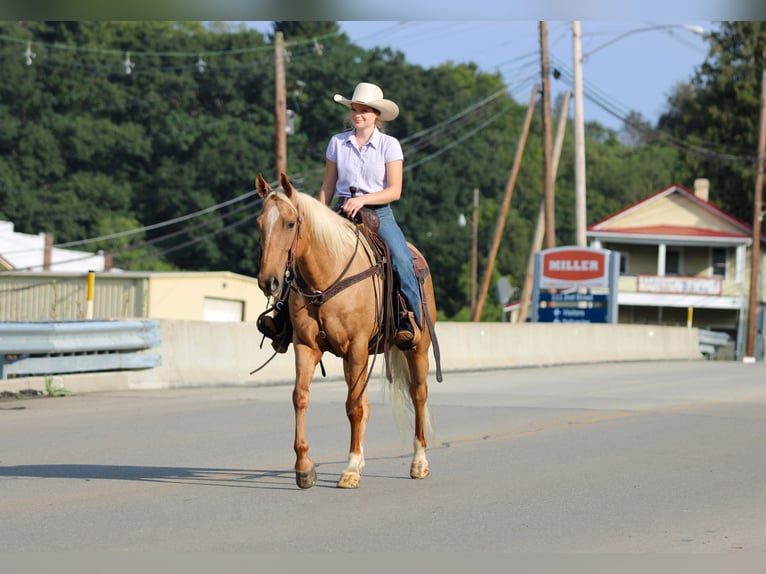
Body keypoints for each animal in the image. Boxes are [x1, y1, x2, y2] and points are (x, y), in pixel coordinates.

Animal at [255, 172, 440, 489]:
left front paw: (351, 469)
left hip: (417, 348)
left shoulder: (356, 346)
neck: (326, 279)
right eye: (259, 222)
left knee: (418, 396)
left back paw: (419, 463)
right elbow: (300, 397)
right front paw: (304, 468)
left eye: (290, 223)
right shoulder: (307, 347)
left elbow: (354, 407)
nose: (270, 281)